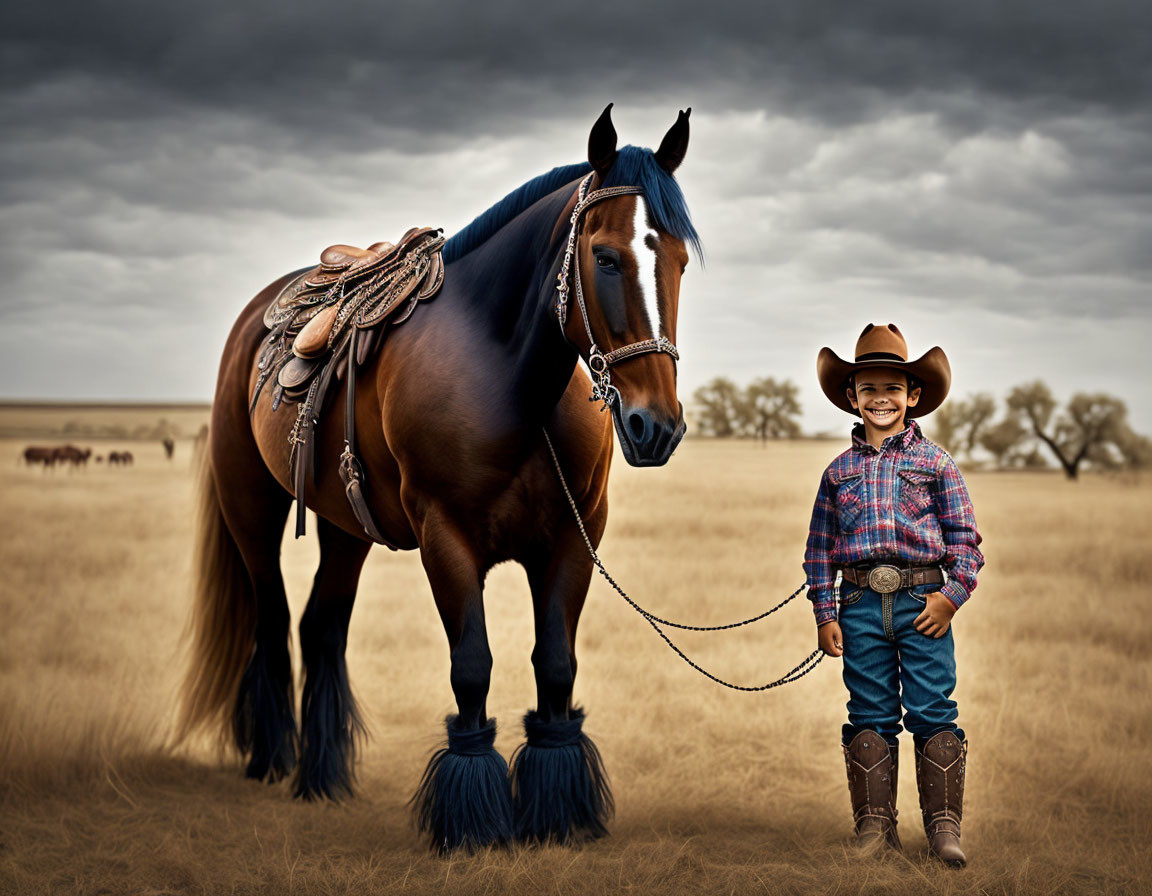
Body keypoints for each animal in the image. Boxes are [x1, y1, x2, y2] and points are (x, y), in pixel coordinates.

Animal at [179, 101, 700, 847]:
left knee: (321, 627)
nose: (655, 426)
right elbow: (472, 667)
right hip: (252, 509)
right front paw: (473, 818)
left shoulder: (574, 540)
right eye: (603, 257)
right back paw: (273, 761)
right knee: (273, 623)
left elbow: (556, 665)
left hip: (346, 529)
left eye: (681, 261)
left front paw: (557, 810)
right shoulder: (446, 538)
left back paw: (320, 777)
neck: (512, 382)